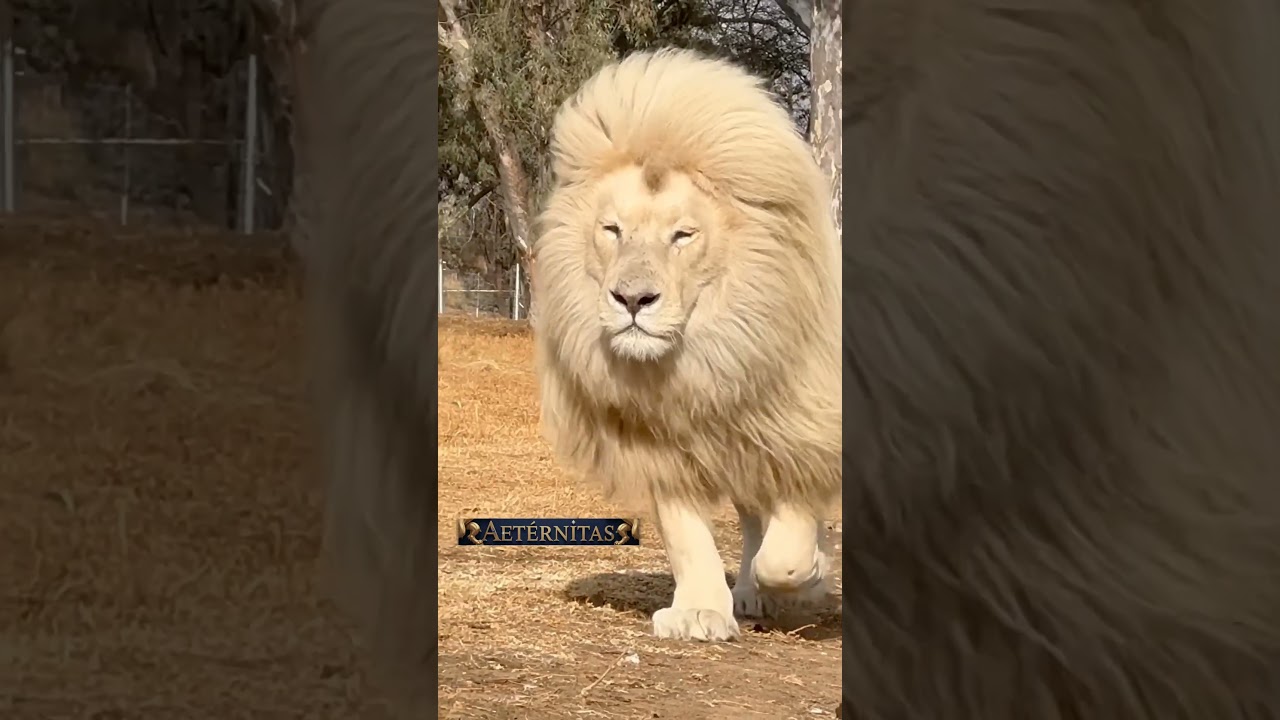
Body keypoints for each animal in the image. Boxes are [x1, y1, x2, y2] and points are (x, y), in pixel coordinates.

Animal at [531, 48, 842, 642]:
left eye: (683, 235)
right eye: (612, 229)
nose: (633, 298)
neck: (707, 358)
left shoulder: (803, 429)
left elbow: (787, 552)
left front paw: (810, 573)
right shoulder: (664, 439)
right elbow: (687, 536)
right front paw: (700, 612)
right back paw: (748, 595)